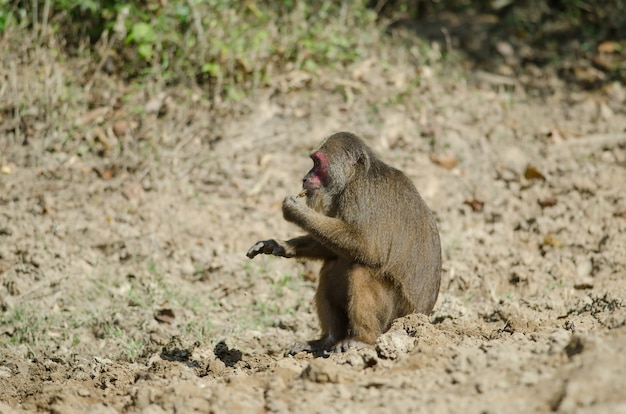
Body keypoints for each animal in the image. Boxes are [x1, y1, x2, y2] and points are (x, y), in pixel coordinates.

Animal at [244, 132, 438, 352]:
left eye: (317, 163)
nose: (305, 178)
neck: (355, 176)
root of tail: (421, 316)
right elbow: (333, 251)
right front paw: (281, 245)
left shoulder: (358, 194)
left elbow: (368, 249)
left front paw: (296, 212)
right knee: (330, 267)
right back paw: (328, 340)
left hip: (396, 317)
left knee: (362, 269)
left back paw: (364, 339)